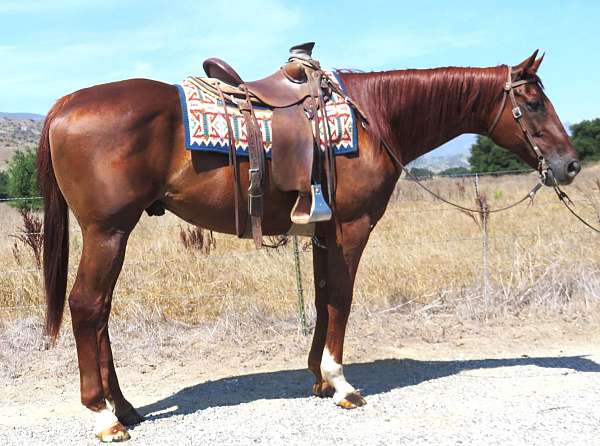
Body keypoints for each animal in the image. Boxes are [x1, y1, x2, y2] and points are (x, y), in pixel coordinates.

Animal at [36, 50, 576, 440]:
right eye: (533, 103)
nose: (569, 164)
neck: (374, 120)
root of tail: (63, 106)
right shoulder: (351, 229)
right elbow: (341, 299)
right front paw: (341, 383)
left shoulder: (322, 233)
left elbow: (321, 299)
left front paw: (317, 377)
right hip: (108, 232)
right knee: (87, 306)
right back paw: (103, 416)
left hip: (113, 234)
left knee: (101, 312)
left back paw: (125, 407)